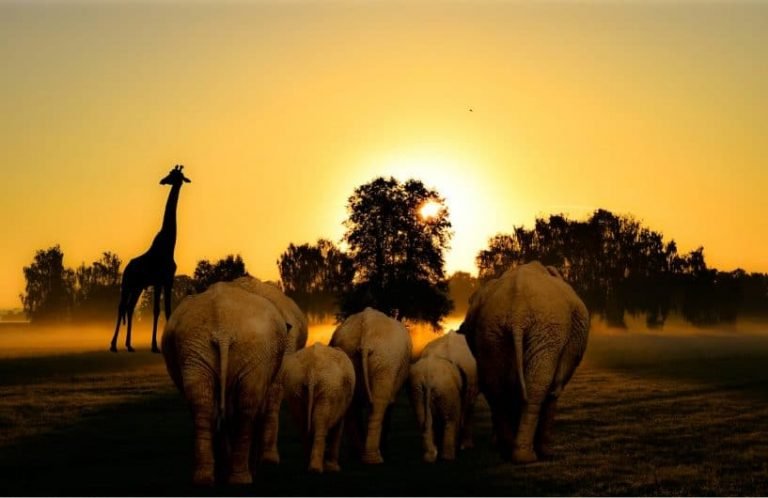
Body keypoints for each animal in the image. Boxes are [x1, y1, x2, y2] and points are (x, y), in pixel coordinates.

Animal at [110, 165, 191, 353]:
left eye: (174, 175)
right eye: (170, 173)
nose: (162, 180)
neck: (169, 245)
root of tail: (127, 267)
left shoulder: (168, 280)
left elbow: (168, 309)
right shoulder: (159, 281)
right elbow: (156, 310)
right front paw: (154, 346)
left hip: (138, 286)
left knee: (130, 307)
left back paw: (129, 345)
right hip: (127, 284)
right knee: (121, 307)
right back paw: (113, 345)